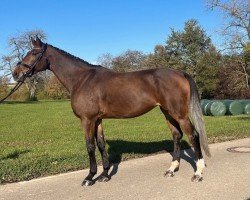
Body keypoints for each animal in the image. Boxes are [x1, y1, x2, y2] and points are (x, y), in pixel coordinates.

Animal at [12, 37, 210, 186]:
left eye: (34, 53)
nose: (15, 73)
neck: (81, 79)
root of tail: (180, 73)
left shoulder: (87, 119)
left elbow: (90, 146)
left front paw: (89, 177)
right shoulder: (98, 119)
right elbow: (100, 144)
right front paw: (104, 175)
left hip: (179, 114)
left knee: (193, 136)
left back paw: (198, 173)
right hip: (167, 112)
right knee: (177, 136)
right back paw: (171, 170)